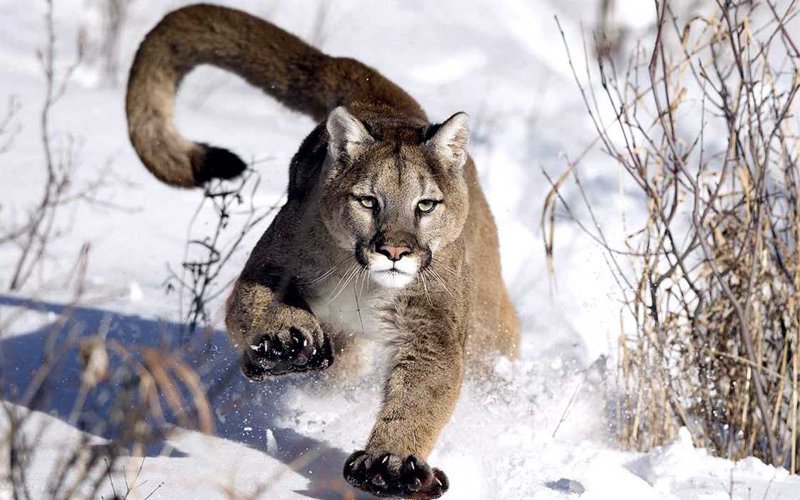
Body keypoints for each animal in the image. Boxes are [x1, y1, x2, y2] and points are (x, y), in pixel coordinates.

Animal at [125, 2, 520, 496]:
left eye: (425, 204)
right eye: (368, 201)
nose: (394, 251)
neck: (366, 284)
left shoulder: (432, 326)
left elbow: (422, 393)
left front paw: (391, 463)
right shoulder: (271, 263)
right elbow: (251, 306)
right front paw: (283, 341)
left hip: (486, 325)